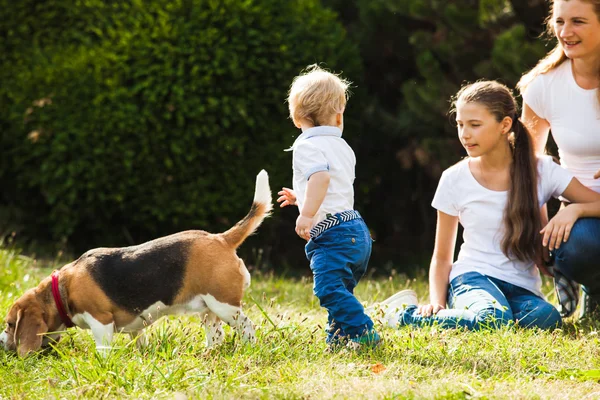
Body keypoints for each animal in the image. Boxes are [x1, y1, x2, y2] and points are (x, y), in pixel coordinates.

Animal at [1, 170, 274, 356]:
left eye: (11, 324)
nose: (2, 343)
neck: (61, 288)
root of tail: (221, 238)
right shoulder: (135, 326)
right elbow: (139, 339)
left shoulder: (101, 322)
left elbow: (102, 349)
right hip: (209, 311)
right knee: (215, 336)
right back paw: (207, 356)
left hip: (224, 304)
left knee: (248, 327)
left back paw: (250, 350)